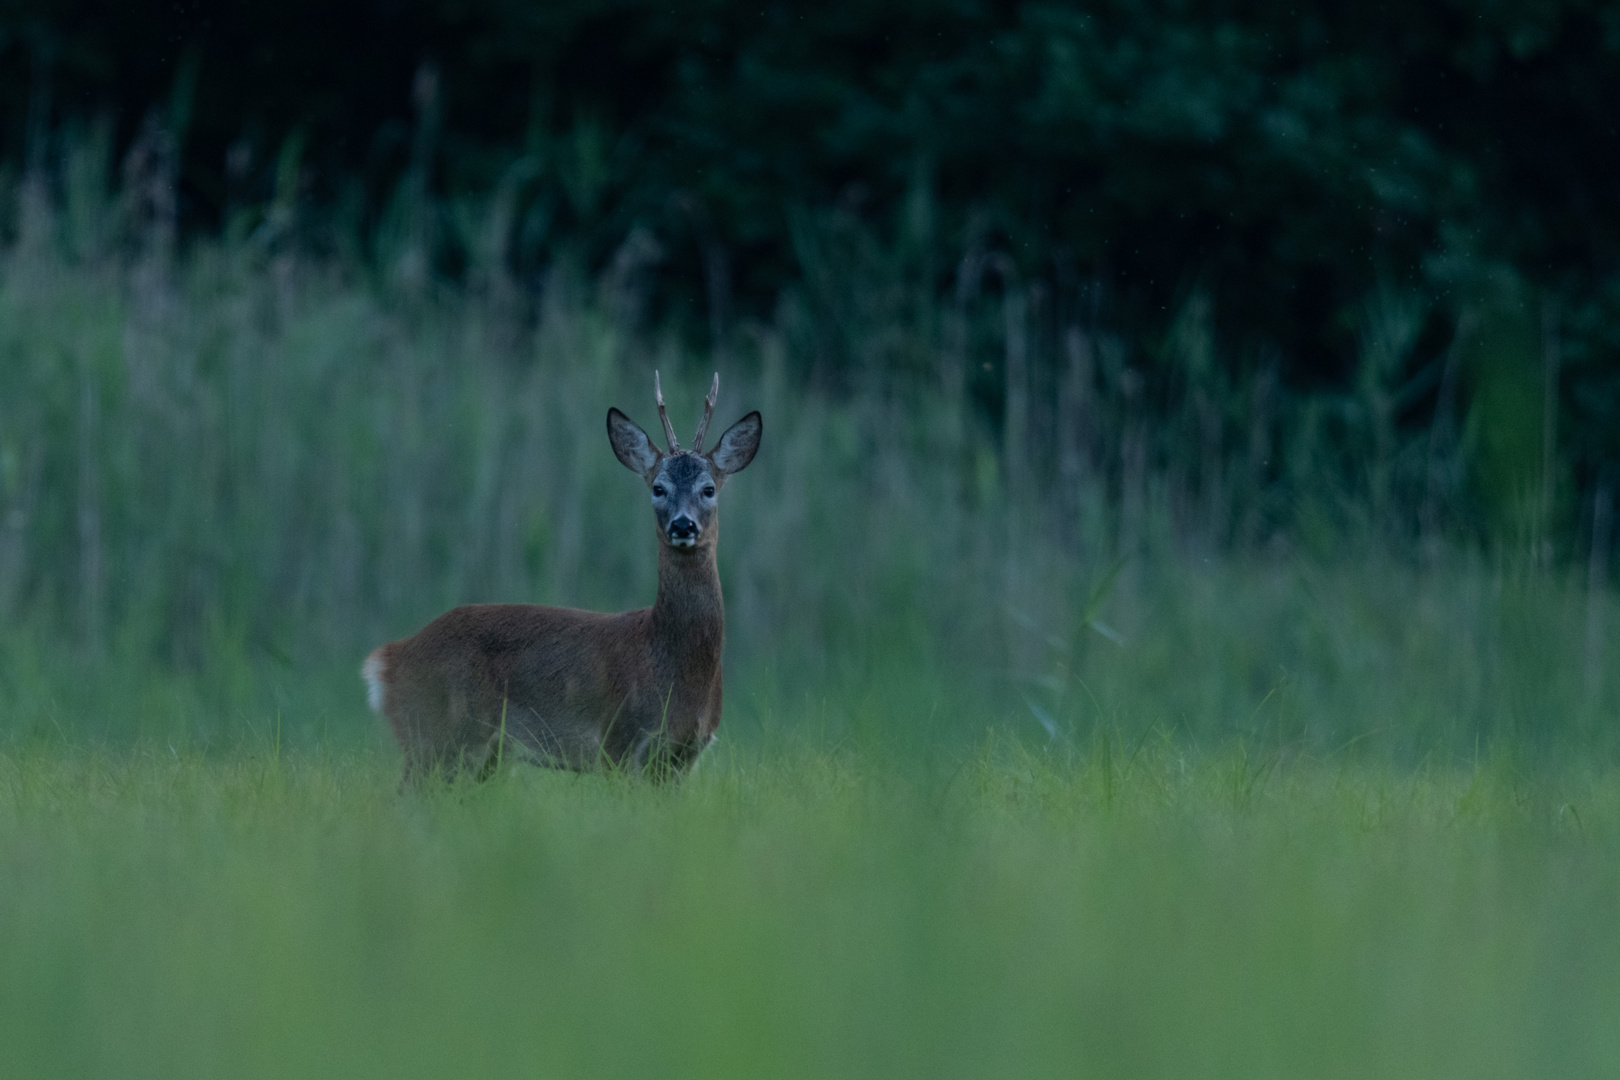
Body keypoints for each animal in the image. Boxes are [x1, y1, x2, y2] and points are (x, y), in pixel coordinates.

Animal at [367, 375, 764, 780]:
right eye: (658, 488)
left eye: (708, 489)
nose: (683, 525)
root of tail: (390, 661)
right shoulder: (619, 740)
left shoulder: (684, 756)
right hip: (438, 735)